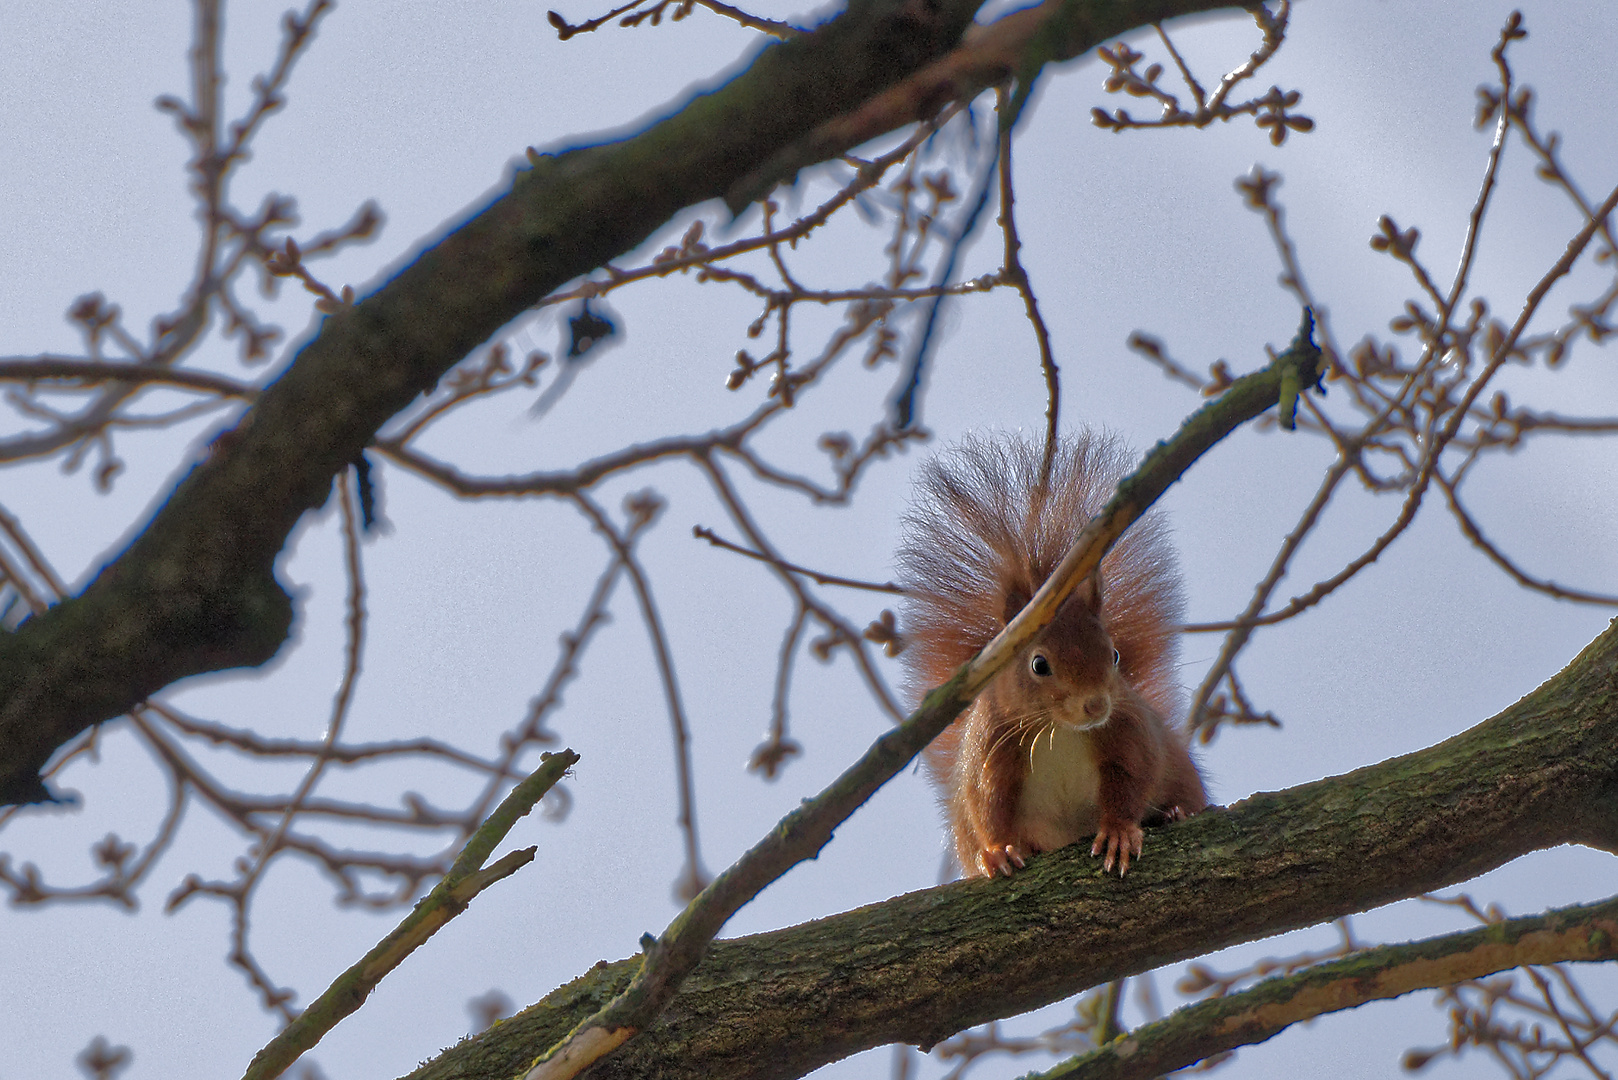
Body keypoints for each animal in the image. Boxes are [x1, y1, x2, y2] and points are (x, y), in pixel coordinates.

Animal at [893, 433, 1210, 880]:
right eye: (1039, 665)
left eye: (1114, 654)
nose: (1096, 705)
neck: (1059, 731)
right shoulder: (991, 745)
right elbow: (986, 802)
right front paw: (997, 851)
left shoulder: (1129, 730)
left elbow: (1132, 779)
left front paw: (1118, 832)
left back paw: (1176, 812)